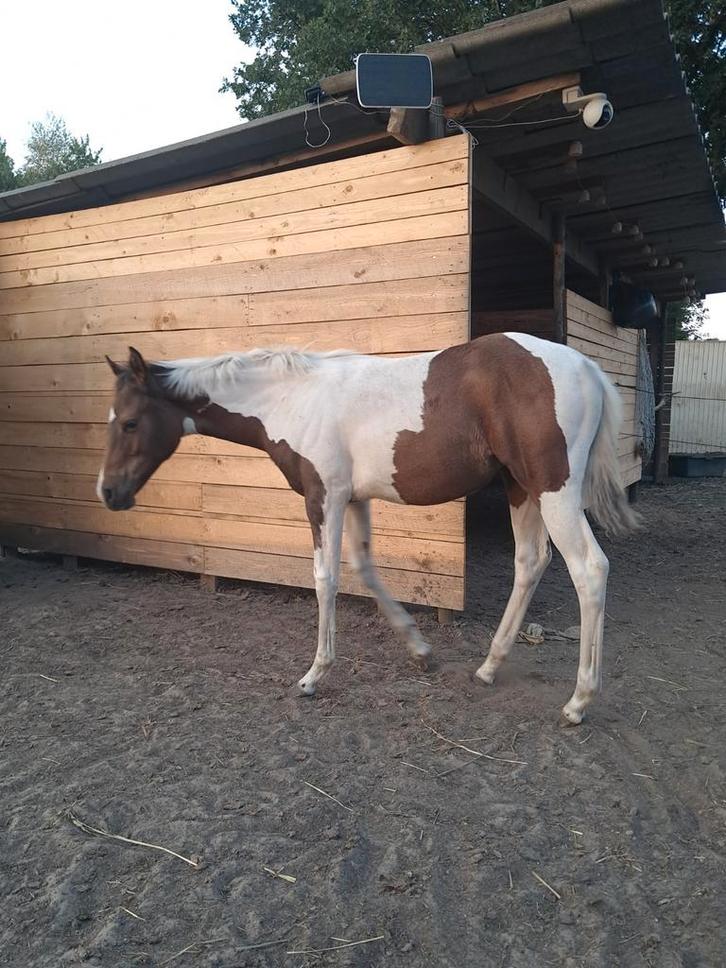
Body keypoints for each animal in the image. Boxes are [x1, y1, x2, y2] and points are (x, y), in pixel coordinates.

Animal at [98, 333, 639, 724]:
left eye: (129, 423)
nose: (108, 493)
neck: (292, 398)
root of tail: (586, 367)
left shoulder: (324, 496)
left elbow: (326, 579)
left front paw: (314, 675)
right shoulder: (354, 499)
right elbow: (364, 568)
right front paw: (421, 651)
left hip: (553, 490)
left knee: (589, 569)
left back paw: (579, 701)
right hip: (520, 488)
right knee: (530, 562)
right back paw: (488, 668)